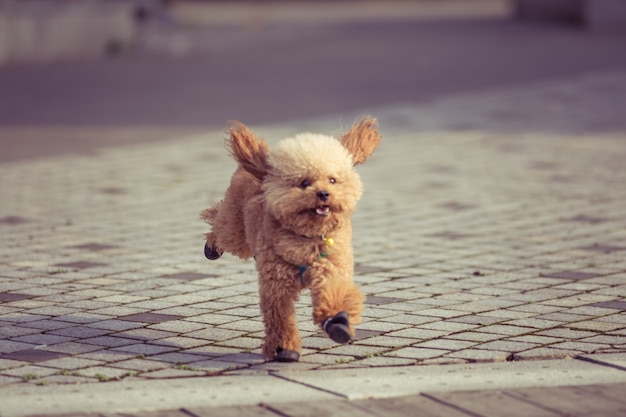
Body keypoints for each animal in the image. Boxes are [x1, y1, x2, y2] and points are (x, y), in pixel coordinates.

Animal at [201, 116, 380, 360]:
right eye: (304, 182)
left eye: (332, 180)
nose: (324, 194)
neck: (307, 238)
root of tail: (264, 168)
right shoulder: (277, 283)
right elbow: (279, 317)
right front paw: (283, 348)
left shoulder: (330, 269)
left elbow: (334, 296)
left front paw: (338, 324)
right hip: (234, 228)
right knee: (219, 223)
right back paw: (212, 246)